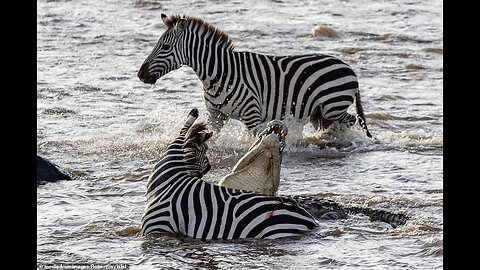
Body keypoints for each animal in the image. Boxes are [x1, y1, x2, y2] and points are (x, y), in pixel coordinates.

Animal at [137, 13, 374, 138]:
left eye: (165, 47)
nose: (140, 75)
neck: (218, 74)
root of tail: (350, 69)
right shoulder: (216, 116)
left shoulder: (252, 116)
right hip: (320, 111)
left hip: (332, 105)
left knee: (349, 120)